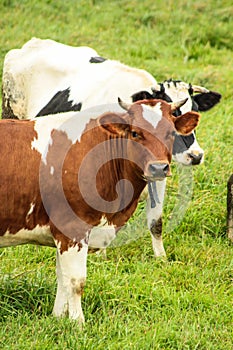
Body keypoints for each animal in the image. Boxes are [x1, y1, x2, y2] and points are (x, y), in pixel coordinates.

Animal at [0, 37, 221, 258]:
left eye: (195, 111)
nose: (196, 155)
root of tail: (34, 43)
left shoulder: (158, 174)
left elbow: (156, 222)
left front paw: (161, 258)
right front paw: (101, 257)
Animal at [0, 98, 200, 322]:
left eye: (171, 133)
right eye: (135, 133)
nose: (158, 168)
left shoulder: (61, 233)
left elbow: (62, 277)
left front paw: (58, 318)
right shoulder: (73, 229)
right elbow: (76, 281)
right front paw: (77, 323)